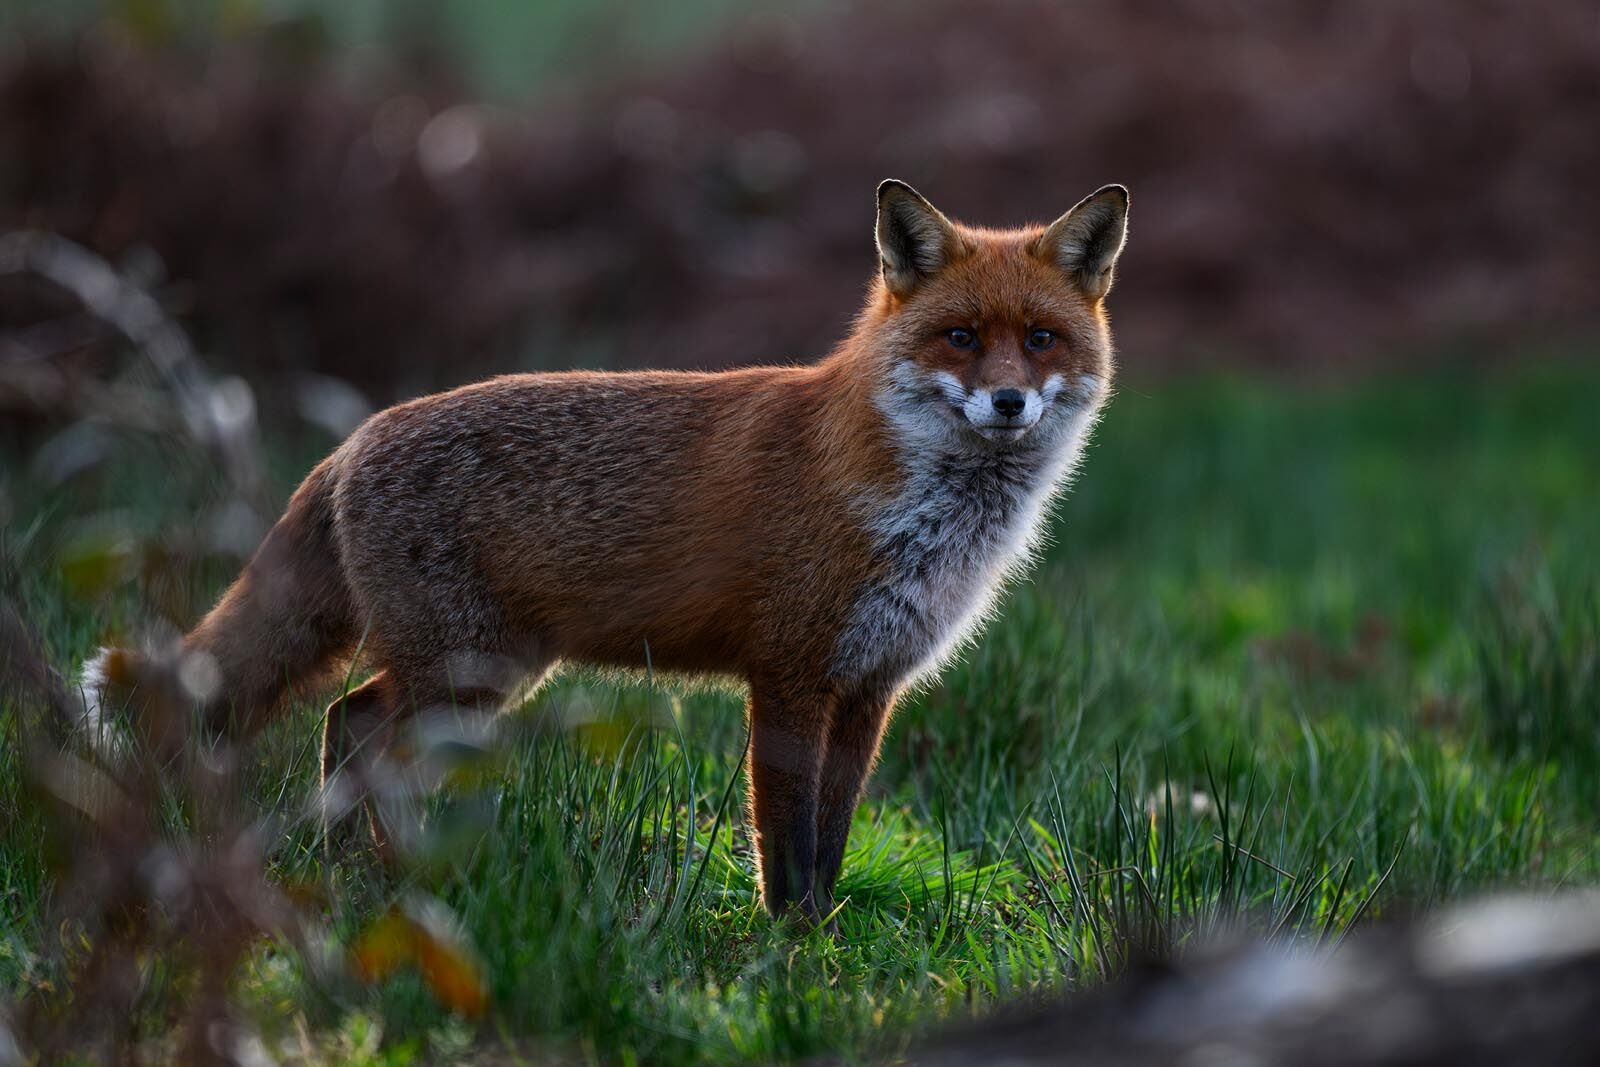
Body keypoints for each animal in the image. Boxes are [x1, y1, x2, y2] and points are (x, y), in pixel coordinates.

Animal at [79, 178, 1129, 925]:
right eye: (961, 337)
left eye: (1041, 340)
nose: (1008, 402)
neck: (917, 513)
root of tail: (354, 437)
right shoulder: (789, 673)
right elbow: (784, 834)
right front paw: (789, 944)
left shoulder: (870, 686)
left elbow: (832, 832)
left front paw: (827, 929)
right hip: (460, 667)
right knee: (352, 722)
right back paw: (375, 874)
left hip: (488, 673)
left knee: (351, 723)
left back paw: (371, 872)